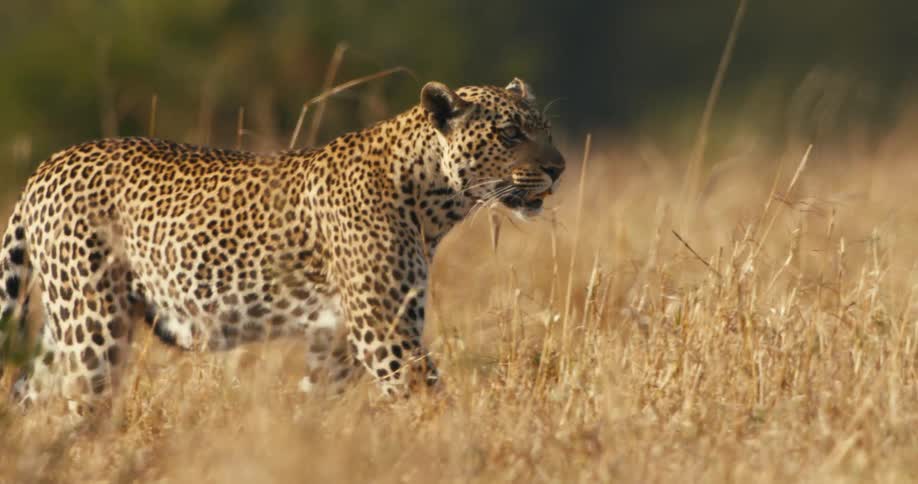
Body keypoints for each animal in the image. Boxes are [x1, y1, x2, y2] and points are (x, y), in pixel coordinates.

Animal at [0, 78, 564, 413]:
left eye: (547, 129)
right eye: (511, 134)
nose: (558, 168)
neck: (432, 198)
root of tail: (44, 168)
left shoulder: (337, 340)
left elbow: (314, 404)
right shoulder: (385, 331)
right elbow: (429, 400)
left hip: (65, 322)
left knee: (30, 392)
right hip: (92, 323)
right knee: (76, 404)